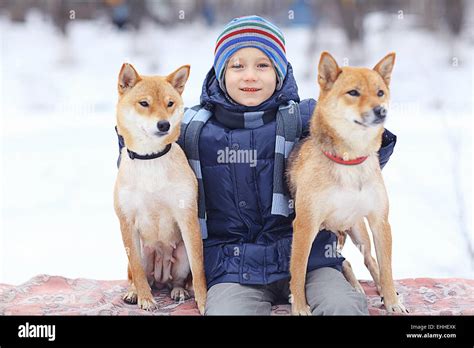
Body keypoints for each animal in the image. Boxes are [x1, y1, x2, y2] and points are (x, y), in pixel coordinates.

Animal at [113, 62, 207, 312]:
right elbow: (137, 271)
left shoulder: (187, 217)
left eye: (170, 103)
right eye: (144, 103)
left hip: (181, 255)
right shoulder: (126, 221)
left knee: (178, 280)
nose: (164, 124)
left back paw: (178, 291)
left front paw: (204, 302)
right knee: (137, 275)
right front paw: (145, 299)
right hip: (141, 251)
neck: (150, 158)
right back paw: (134, 292)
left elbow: (199, 270)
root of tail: (161, 277)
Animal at [286, 51, 410, 316]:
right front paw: (300, 306)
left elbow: (386, 268)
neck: (350, 160)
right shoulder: (305, 225)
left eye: (380, 92)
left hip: (359, 230)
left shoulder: (380, 222)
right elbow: (298, 271)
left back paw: (382, 291)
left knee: (370, 260)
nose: (381, 111)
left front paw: (393, 302)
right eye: (353, 92)